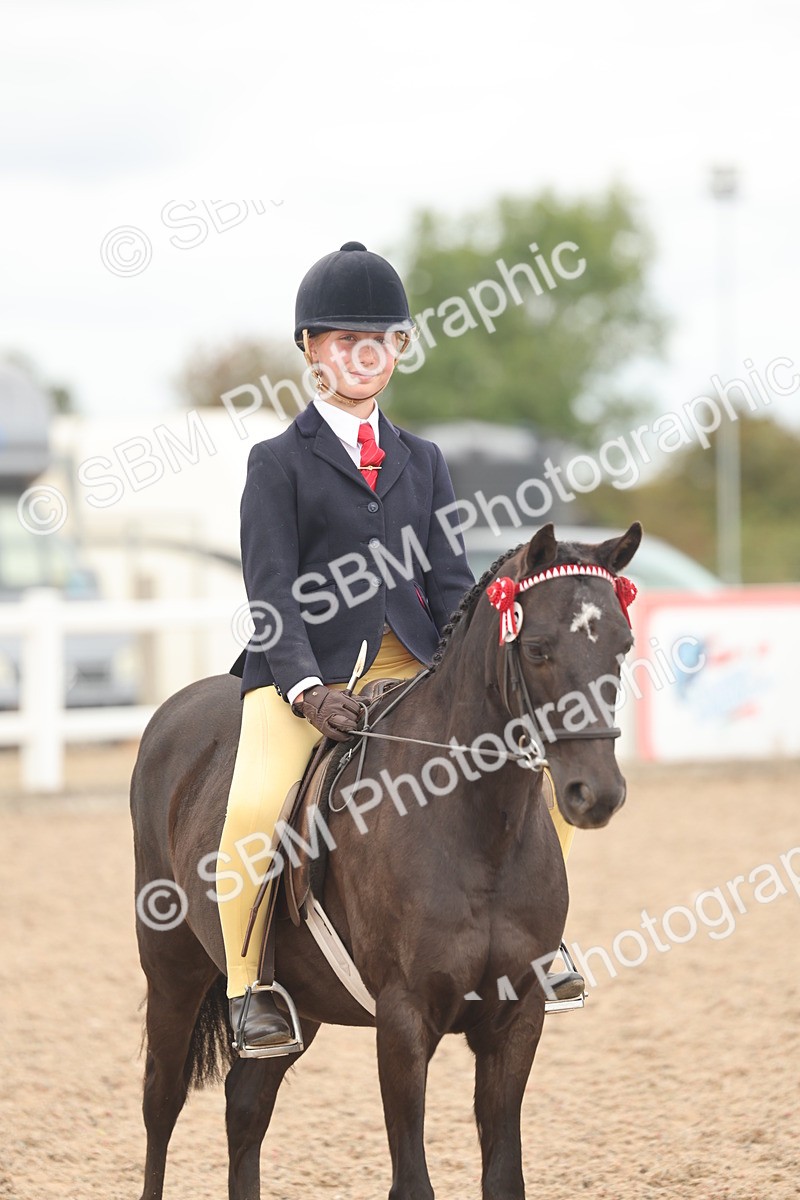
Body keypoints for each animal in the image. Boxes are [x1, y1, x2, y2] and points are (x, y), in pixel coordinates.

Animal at [130, 520, 641, 1200]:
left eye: (622, 647)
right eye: (537, 648)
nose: (597, 793)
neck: (477, 832)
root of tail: (173, 711)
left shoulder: (516, 1019)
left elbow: (505, 1175)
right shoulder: (403, 1019)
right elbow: (412, 1179)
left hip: (300, 1004)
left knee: (245, 1108)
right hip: (172, 972)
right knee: (161, 1104)